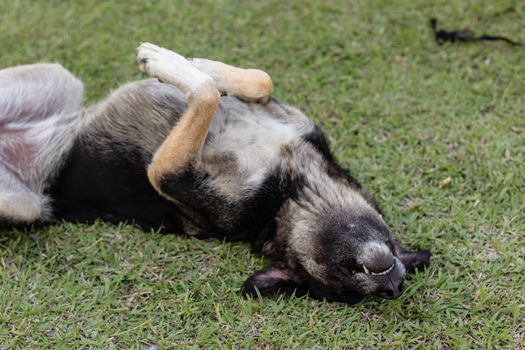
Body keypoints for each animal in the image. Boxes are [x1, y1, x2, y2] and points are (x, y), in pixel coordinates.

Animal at [0, 43, 428, 300]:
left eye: (353, 281)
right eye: (394, 250)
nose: (391, 279)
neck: (289, 190)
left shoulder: (168, 173)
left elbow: (204, 96)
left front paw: (172, 64)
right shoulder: (288, 119)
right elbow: (260, 79)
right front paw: (197, 65)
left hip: (24, 206)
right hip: (58, 80)